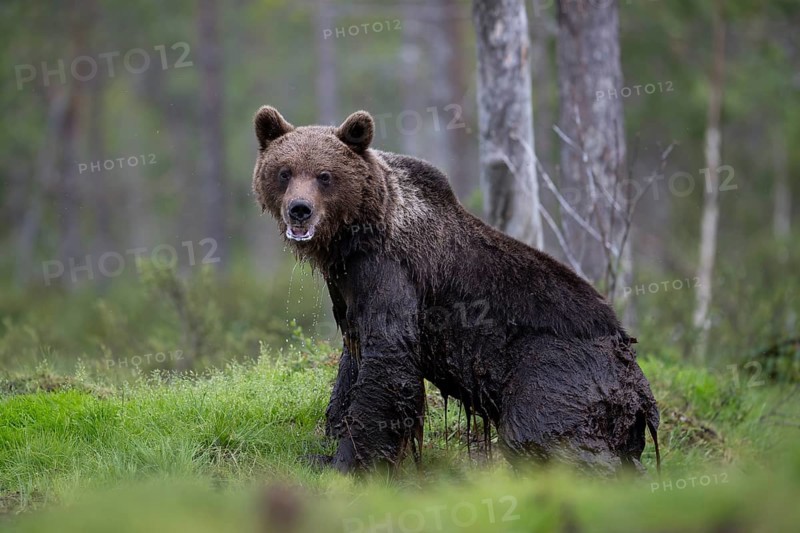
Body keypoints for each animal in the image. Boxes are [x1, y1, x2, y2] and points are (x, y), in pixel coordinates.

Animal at [251, 106, 660, 475]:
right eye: (284, 172)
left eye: (325, 175)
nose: (299, 210)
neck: (351, 241)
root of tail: (630, 365)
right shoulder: (347, 287)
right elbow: (354, 359)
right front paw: (329, 437)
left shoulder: (390, 273)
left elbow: (388, 361)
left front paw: (346, 462)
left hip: (555, 368)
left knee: (542, 433)